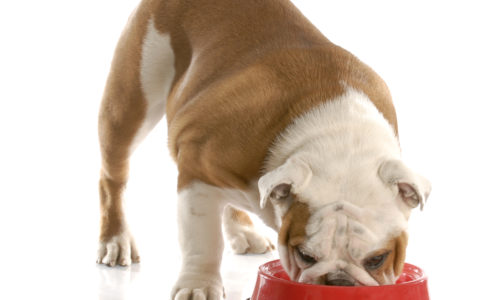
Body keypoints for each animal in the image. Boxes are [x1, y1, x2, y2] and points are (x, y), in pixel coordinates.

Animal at [96, 0, 430, 298]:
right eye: (305, 255)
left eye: (377, 259)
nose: (338, 281)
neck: (341, 142)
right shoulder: (195, 174)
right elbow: (203, 241)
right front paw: (198, 285)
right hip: (133, 98)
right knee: (113, 176)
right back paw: (115, 240)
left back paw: (244, 232)